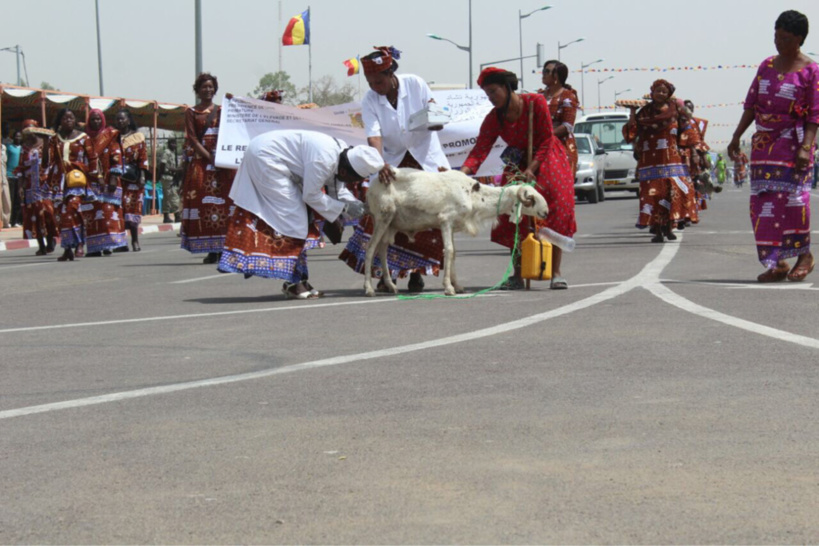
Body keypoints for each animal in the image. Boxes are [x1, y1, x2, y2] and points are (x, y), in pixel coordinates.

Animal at [366, 169, 552, 298]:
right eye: (531, 199)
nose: (546, 212)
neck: (474, 196)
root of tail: (372, 185)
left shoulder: (453, 226)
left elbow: (454, 253)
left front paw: (458, 286)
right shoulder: (445, 221)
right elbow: (448, 251)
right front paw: (449, 288)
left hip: (391, 224)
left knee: (382, 249)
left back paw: (391, 286)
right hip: (383, 216)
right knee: (370, 249)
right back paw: (368, 289)